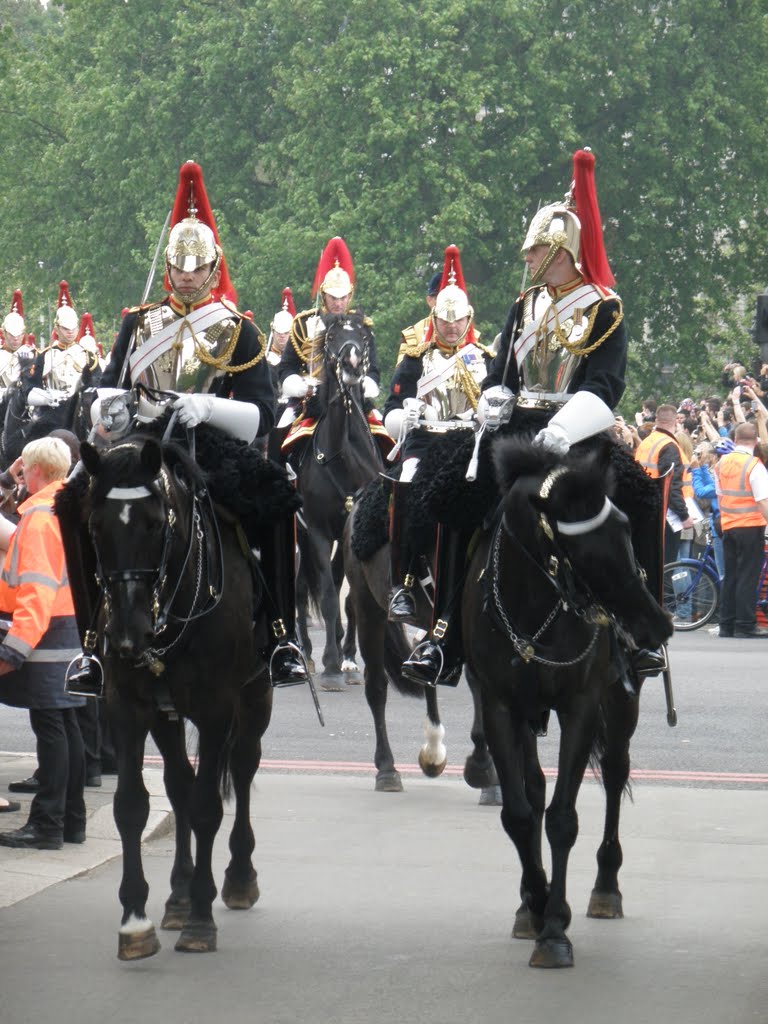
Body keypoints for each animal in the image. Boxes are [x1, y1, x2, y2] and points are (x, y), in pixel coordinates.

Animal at [57, 434, 274, 958]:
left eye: (155, 524)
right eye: (94, 526)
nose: (126, 636)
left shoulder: (217, 709)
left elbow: (207, 806)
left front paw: (200, 920)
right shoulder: (129, 707)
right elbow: (133, 806)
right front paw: (136, 921)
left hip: (255, 697)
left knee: (242, 766)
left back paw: (238, 877)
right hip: (167, 714)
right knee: (179, 783)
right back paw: (177, 895)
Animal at [290, 313, 385, 688]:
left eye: (362, 336)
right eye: (331, 337)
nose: (352, 362)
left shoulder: (354, 532)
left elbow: (350, 594)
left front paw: (348, 658)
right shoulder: (316, 530)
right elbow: (329, 596)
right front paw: (330, 663)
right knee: (302, 588)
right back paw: (304, 654)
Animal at [462, 438, 671, 966]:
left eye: (625, 528)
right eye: (576, 548)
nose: (656, 626)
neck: (533, 607)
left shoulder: (581, 704)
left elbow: (562, 818)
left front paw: (555, 926)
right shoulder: (499, 706)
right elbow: (520, 812)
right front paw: (536, 905)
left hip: (619, 705)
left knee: (615, 774)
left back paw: (606, 887)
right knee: (534, 789)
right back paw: (527, 904)